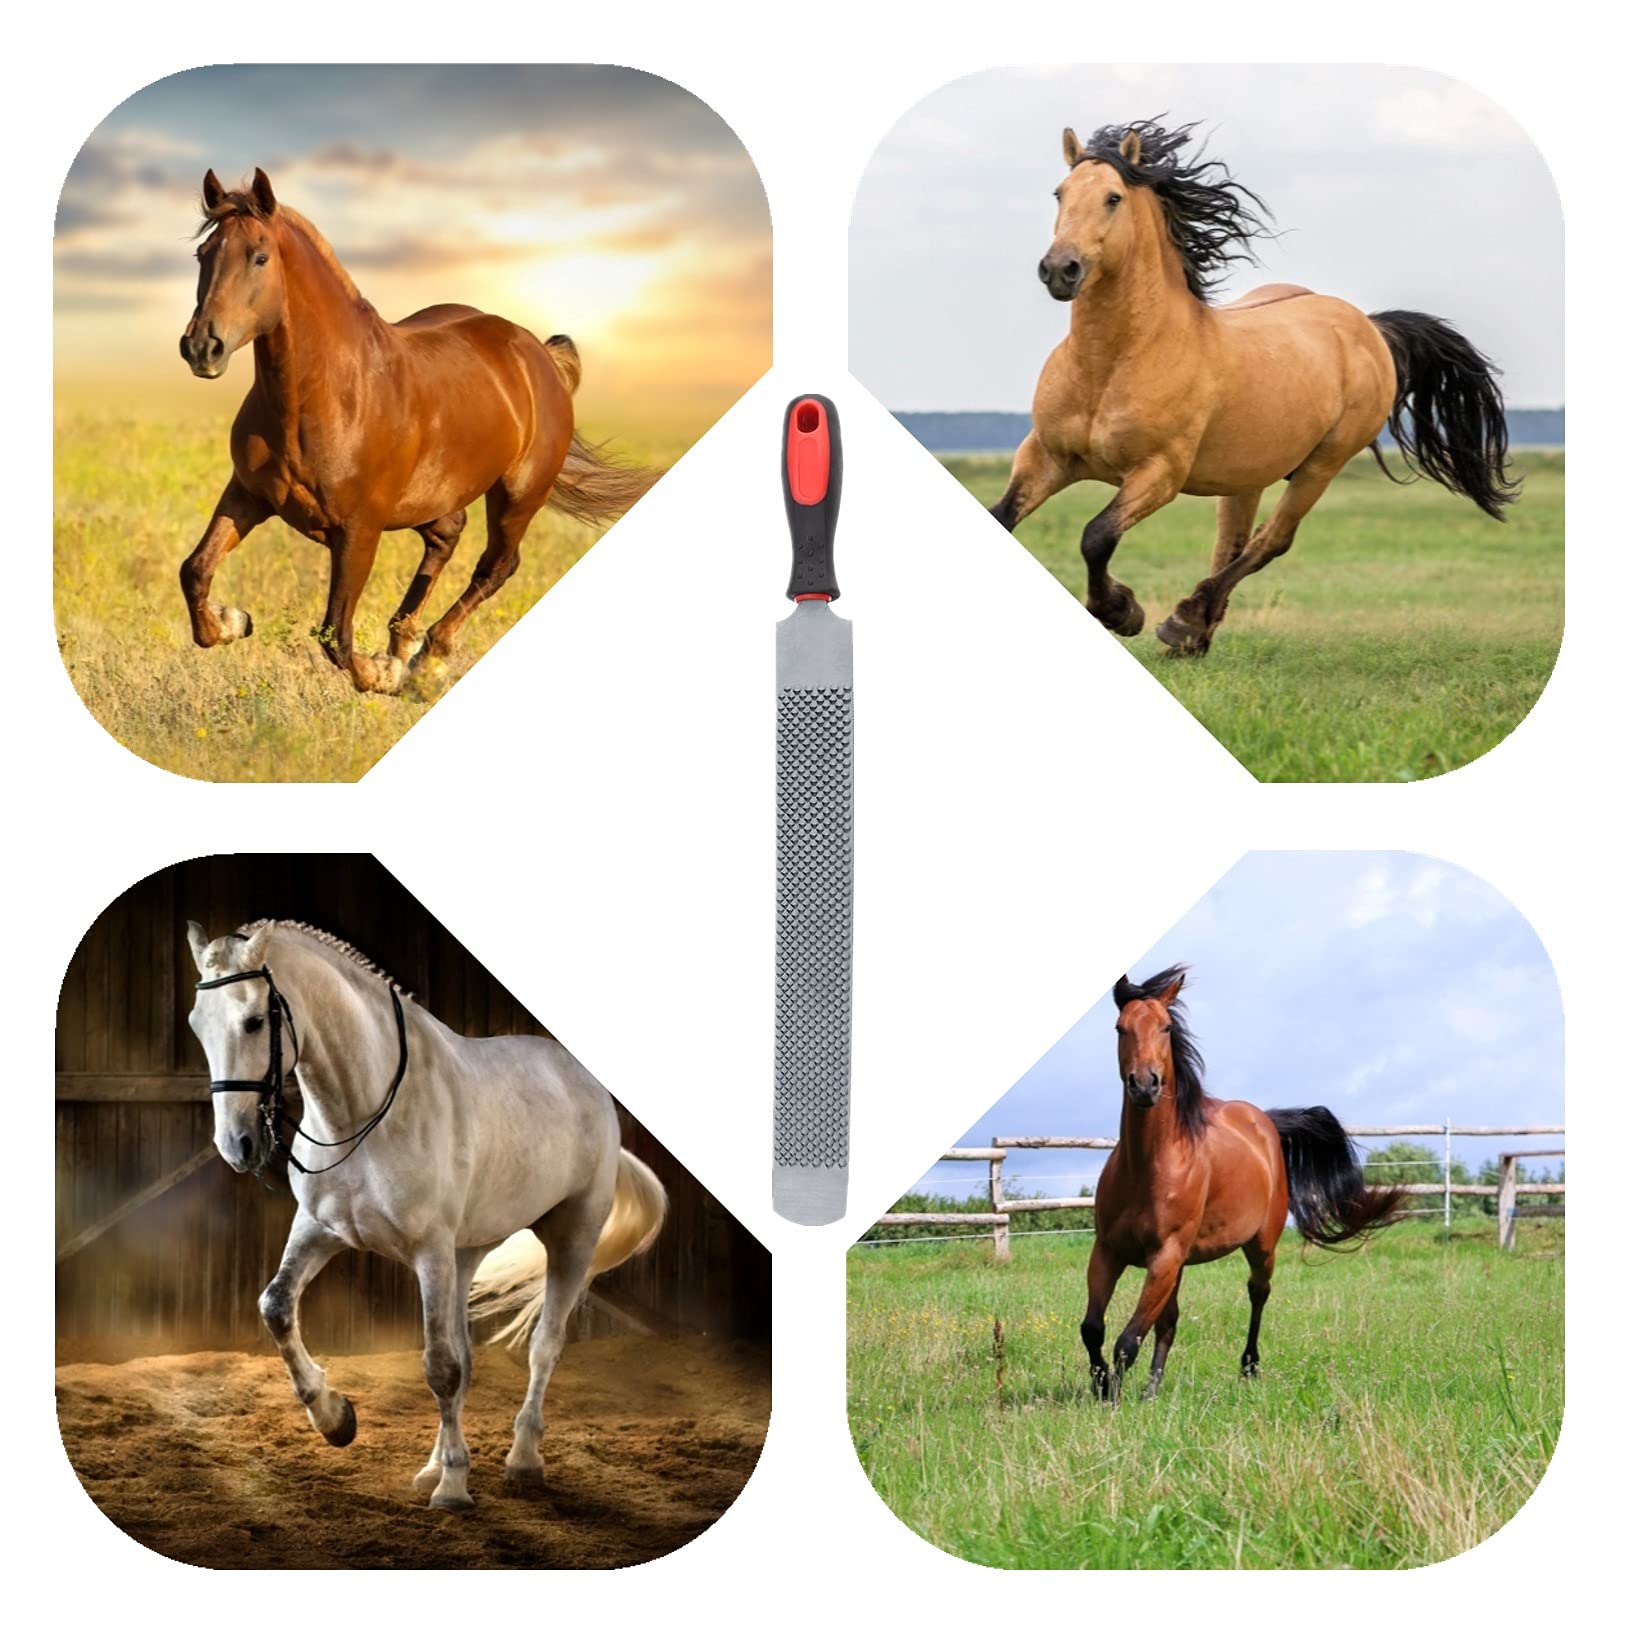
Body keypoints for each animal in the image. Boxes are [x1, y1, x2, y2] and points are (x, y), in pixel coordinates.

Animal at [177, 168, 657, 694]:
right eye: (203, 255)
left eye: (259, 257)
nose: (201, 347)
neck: (325, 397)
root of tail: (538, 354)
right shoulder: (248, 495)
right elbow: (195, 570)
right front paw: (232, 621)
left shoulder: (359, 530)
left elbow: (335, 632)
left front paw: (383, 673)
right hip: (432, 499)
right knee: (449, 535)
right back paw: (405, 641)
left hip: (517, 495)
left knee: (496, 566)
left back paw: (428, 657)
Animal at [185, 917, 666, 1510]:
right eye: (197, 1025)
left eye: (254, 1022)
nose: (237, 1145)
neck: (364, 1114)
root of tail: (588, 1085)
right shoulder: (321, 1230)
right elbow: (276, 1307)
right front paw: (336, 1419)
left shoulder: (429, 1252)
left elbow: (440, 1368)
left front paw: (454, 1488)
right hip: (466, 1254)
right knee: (467, 1356)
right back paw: (432, 1466)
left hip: (569, 1237)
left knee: (543, 1347)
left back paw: (521, 1459)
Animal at [989, 120, 1519, 656]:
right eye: (1060, 193)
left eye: (1113, 198)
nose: (1061, 269)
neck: (1113, 363)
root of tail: (1369, 327)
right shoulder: (1046, 456)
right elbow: (1004, 518)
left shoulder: (1158, 473)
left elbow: (1096, 536)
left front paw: (1122, 611)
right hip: (1247, 475)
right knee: (1233, 544)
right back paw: (1194, 636)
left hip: (1322, 465)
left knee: (1271, 541)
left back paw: (1183, 622)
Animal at [1081, 966, 1404, 1401]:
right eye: (1121, 1028)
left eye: (1166, 1027)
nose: (1145, 1085)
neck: (1148, 1166)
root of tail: (1264, 1121)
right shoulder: (1110, 1251)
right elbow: (1093, 1329)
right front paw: (1103, 1387)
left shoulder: (1164, 1256)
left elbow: (1127, 1340)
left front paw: (1112, 1398)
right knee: (1169, 1321)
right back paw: (1153, 1389)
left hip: (1261, 1245)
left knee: (1258, 1293)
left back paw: (1249, 1367)